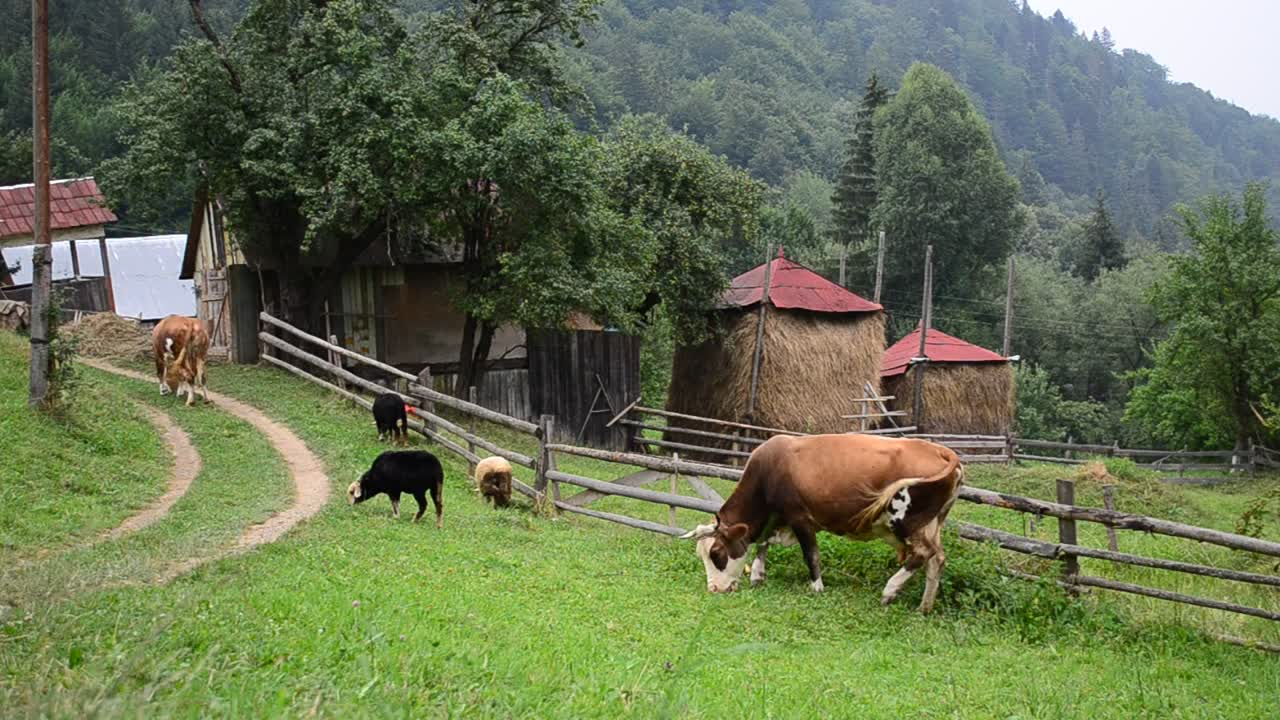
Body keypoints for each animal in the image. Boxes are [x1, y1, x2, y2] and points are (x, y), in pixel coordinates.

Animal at [680, 430, 962, 609]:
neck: (769, 469)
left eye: (716, 553)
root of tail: (942, 451)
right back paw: (924, 607)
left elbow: (811, 555)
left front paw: (817, 587)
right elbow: (764, 543)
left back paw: (890, 590)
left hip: (906, 520)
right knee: (937, 558)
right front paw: (758, 575)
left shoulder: (800, 517)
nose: (714, 589)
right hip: (932, 522)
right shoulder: (778, 518)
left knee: (922, 553)